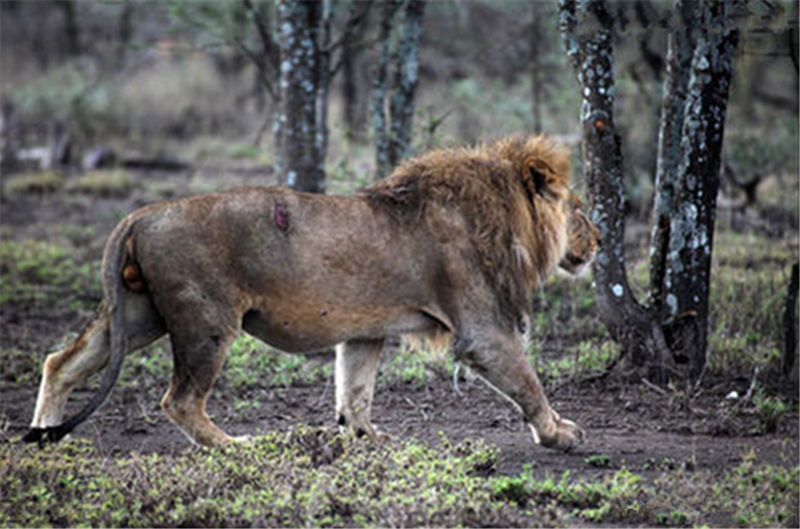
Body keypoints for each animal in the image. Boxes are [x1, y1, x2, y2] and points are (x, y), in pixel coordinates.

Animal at [25, 134, 596, 452]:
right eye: (579, 208)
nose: (599, 239)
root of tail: (141, 214)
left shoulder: (366, 332)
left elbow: (355, 391)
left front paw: (366, 439)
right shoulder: (483, 330)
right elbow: (527, 382)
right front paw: (559, 433)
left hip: (140, 313)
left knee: (61, 362)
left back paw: (44, 439)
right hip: (205, 321)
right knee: (180, 400)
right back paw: (235, 447)